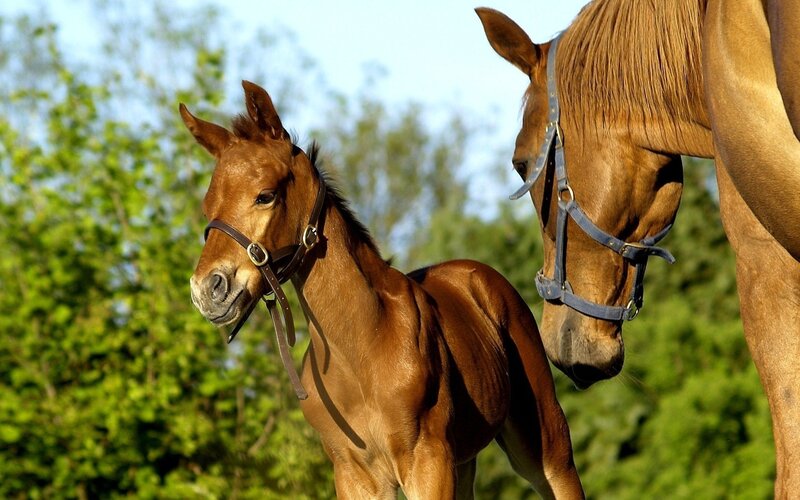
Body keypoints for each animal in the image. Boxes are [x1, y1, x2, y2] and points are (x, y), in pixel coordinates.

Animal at [180, 81, 584, 499]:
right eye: (208, 206)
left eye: (265, 195)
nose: (208, 289)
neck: (361, 348)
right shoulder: (353, 473)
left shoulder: (428, 462)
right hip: (465, 461)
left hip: (545, 446)